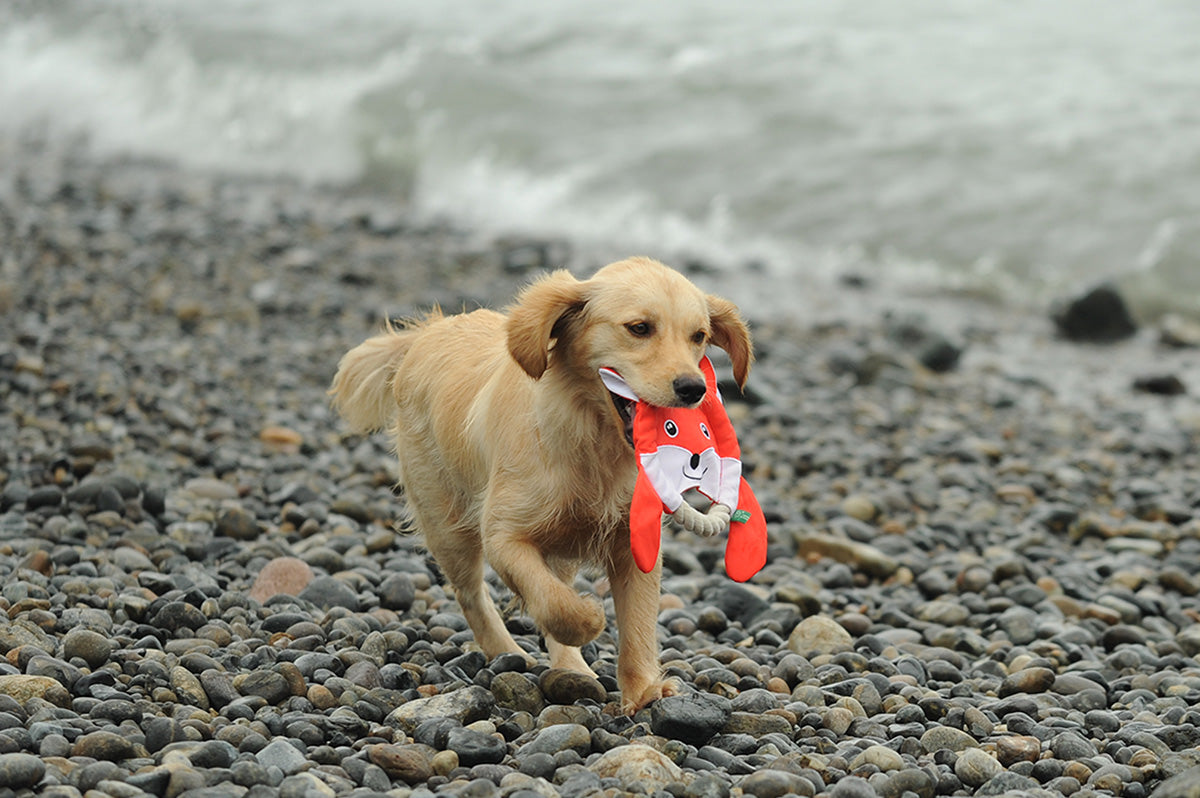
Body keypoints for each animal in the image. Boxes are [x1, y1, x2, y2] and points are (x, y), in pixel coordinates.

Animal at [328, 255, 753, 710]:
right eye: (639, 328)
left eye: (699, 336)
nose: (693, 388)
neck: (593, 442)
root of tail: (427, 332)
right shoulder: (503, 535)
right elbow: (553, 604)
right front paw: (589, 619)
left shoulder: (634, 541)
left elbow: (637, 622)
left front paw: (644, 691)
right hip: (448, 524)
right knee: (472, 593)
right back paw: (507, 650)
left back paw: (572, 667)